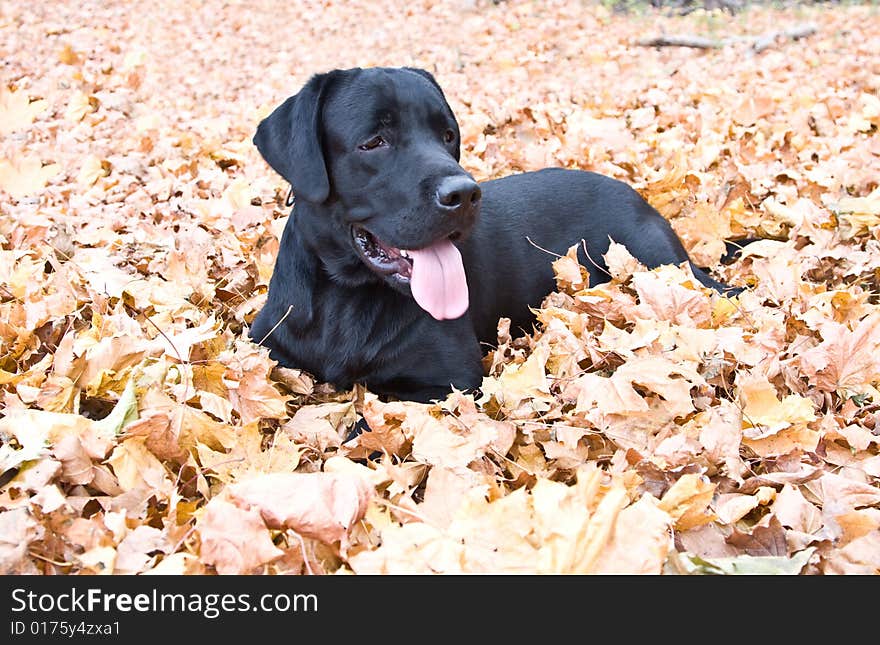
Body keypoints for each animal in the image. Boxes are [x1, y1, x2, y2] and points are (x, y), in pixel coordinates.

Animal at [249, 69, 736, 402]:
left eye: (447, 135)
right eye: (373, 142)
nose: (463, 194)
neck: (346, 298)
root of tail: (637, 194)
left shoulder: (448, 381)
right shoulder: (266, 346)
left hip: (662, 263)